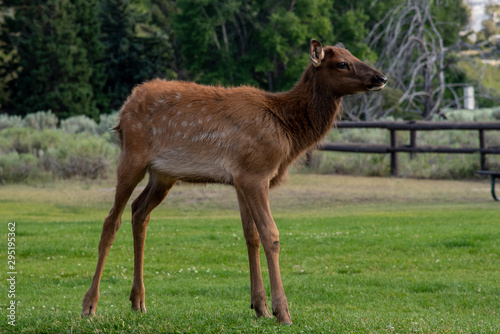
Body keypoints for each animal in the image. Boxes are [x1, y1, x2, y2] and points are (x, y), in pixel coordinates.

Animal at [82, 38, 386, 324]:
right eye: (342, 64)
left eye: (354, 55)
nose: (381, 77)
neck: (286, 130)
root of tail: (124, 110)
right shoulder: (255, 173)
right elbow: (271, 235)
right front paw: (283, 312)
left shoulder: (241, 178)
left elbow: (251, 235)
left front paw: (260, 308)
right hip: (132, 156)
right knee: (111, 221)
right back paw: (90, 305)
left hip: (162, 174)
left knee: (139, 212)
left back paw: (138, 301)